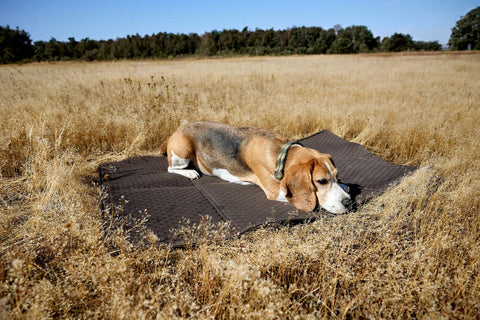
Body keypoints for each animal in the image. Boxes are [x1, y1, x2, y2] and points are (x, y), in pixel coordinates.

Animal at [161, 121, 352, 214]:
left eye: (337, 176)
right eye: (321, 181)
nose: (348, 203)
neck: (282, 153)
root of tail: (177, 130)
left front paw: (345, 186)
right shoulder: (275, 192)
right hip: (182, 151)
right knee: (171, 169)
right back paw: (191, 172)